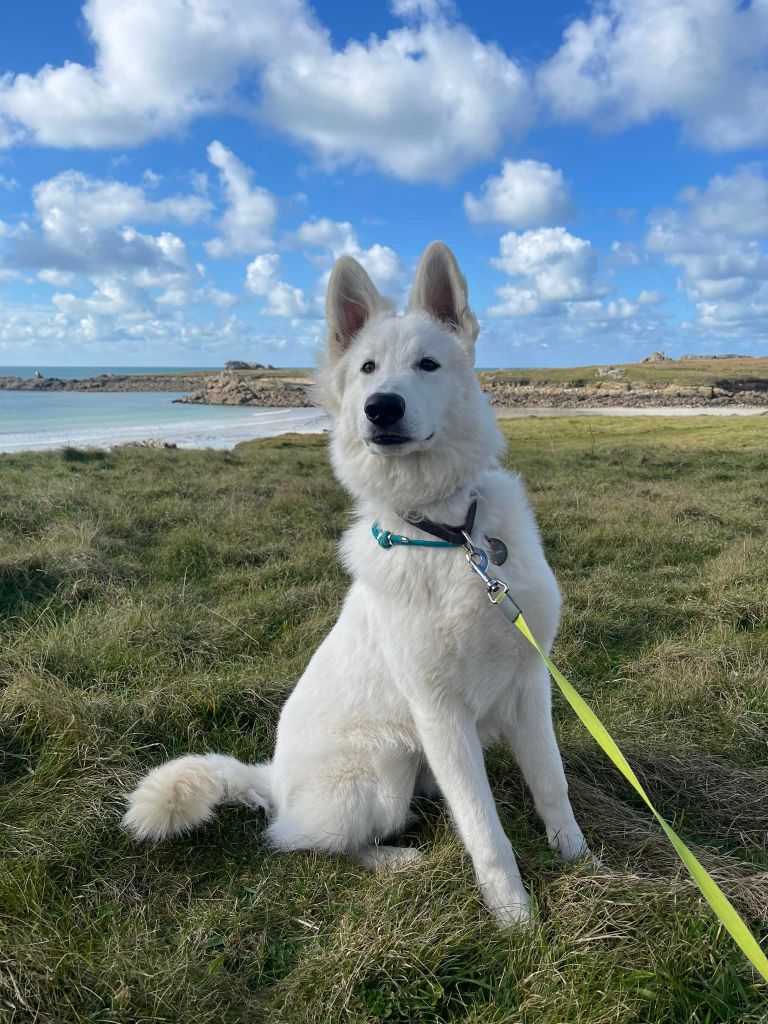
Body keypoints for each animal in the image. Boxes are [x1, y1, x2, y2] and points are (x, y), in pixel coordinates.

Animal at [124, 241, 589, 929]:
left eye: (428, 364)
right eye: (367, 369)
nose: (381, 407)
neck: (451, 537)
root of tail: (272, 779)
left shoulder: (530, 685)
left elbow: (551, 783)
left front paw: (579, 856)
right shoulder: (439, 716)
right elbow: (484, 826)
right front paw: (513, 912)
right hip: (388, 762)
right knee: (304, 841)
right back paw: (393, 859)